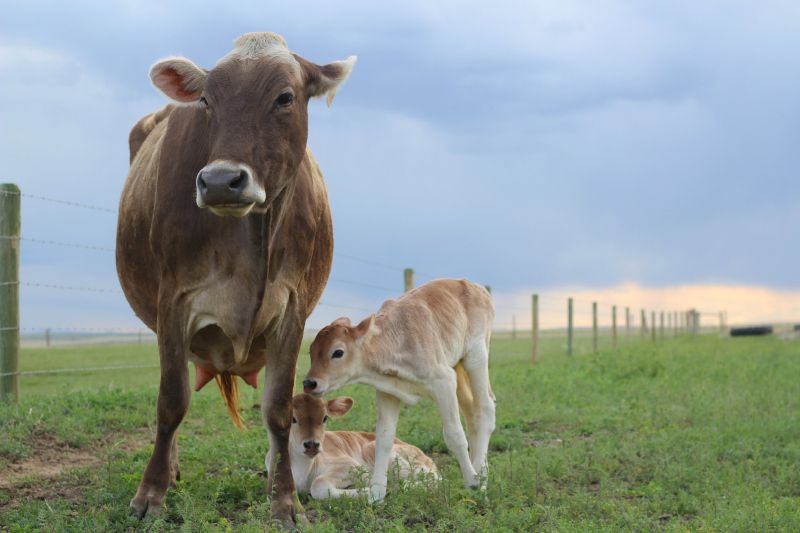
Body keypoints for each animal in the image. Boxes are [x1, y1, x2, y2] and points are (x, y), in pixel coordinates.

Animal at [115, 32, 356, 528]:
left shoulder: (293, 309)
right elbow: (171, 402)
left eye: (284, 97)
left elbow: (279, 409)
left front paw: (285, 500)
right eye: (207, 100)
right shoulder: (174, 302)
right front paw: (151, 494)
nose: (221, 180)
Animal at [273, 393, 438, 500]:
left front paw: (371, 490)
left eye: (325, 417)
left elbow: (318, 485)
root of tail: (428, 458)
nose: (312, 444)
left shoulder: (349, 464)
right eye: (293, 419)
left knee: (433, 479)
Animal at [303, 279, 496, 503]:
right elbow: (383, 439)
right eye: (311, 351)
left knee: (485, 407)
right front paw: (376, 494)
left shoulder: (444, 382)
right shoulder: (387, 392)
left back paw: (480, 477)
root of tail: (474, 286)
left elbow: (454, 435)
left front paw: (473, 483)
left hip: (476, 355)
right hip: (458, 365)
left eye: (338, 352)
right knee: (471, 411)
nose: (309, 383)